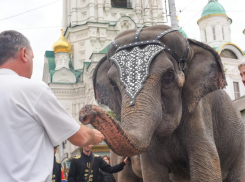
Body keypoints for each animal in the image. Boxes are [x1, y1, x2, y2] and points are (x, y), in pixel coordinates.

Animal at [79, 24, 244, 181]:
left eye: (168, 76)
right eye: (113, 84)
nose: (85, 112)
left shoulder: (200, 112)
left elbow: (206, 169)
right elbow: (153, 173)